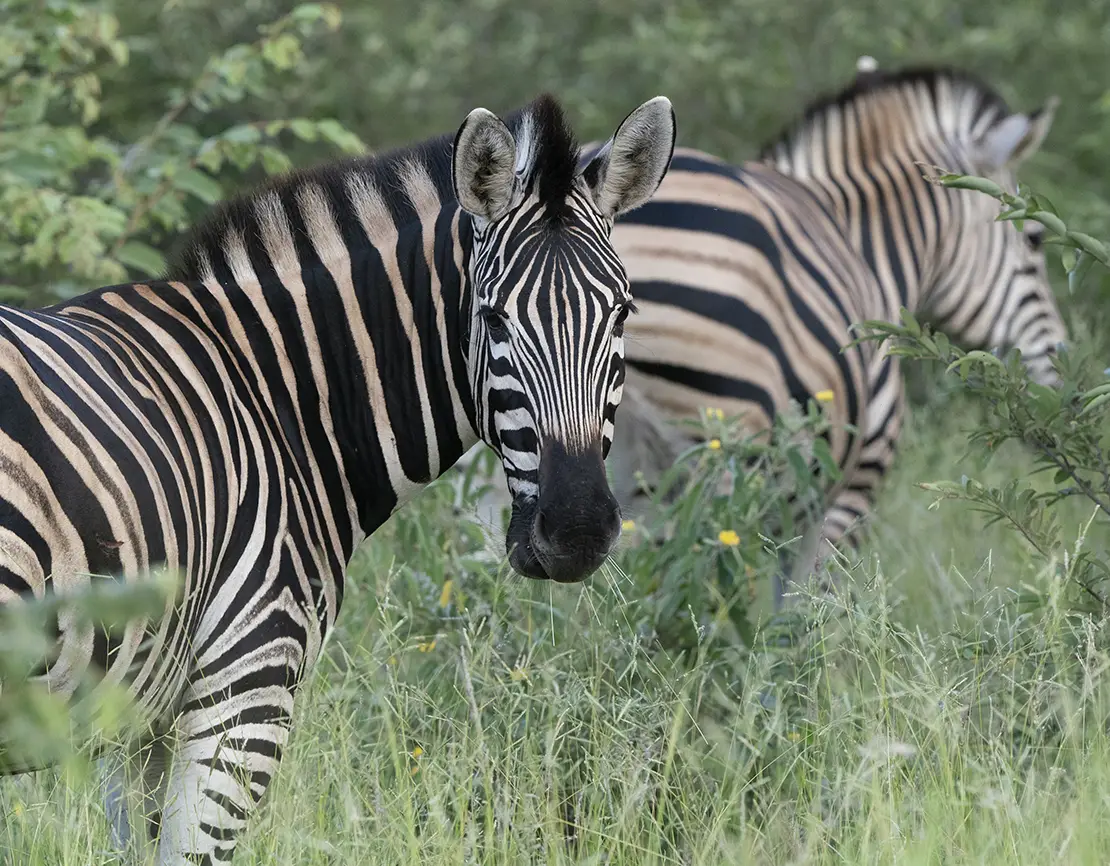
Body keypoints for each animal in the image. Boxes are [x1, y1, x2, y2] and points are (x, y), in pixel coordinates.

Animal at [0, 91, 674, 861]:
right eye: (494, 318)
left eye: (623, 312)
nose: (578, 531)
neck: (276, 394)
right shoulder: (247, 684)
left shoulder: (140, 721)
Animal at [457, 64, 1065, 603]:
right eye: (1035, 239)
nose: (1061, 360)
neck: (862, 243)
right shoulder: (846, 491)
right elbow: (801, 617)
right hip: (721, 464)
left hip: (507, 468)